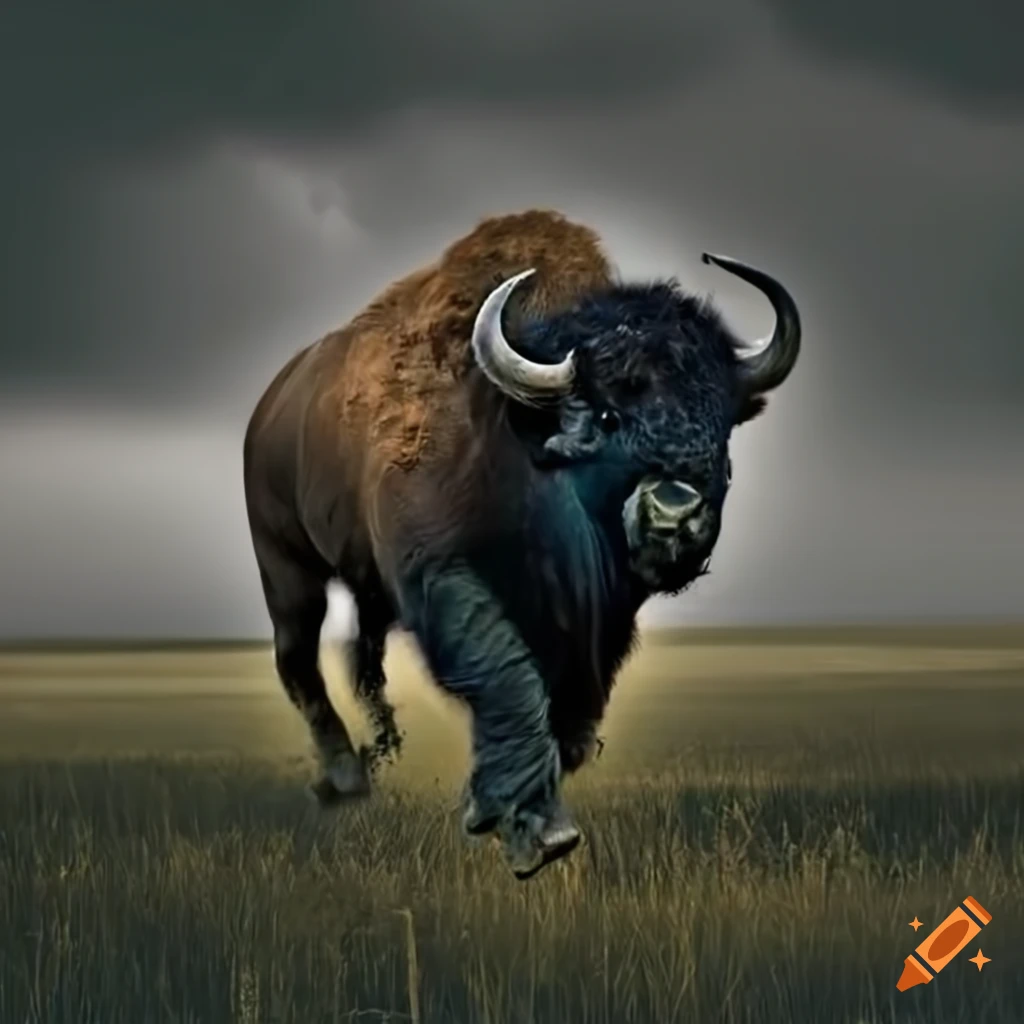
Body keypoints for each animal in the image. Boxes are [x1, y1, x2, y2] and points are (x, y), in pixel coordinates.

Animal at [243, 209, 801, 878]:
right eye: (607, 416)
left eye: (721, 425)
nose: (676, 514)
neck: (519, 440)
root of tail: (270, 404)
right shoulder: (445, 579)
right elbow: (506, 678)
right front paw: (539, 831)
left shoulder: (596, 623)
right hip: (286, 567)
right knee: (297, 655)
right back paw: (346, 777)